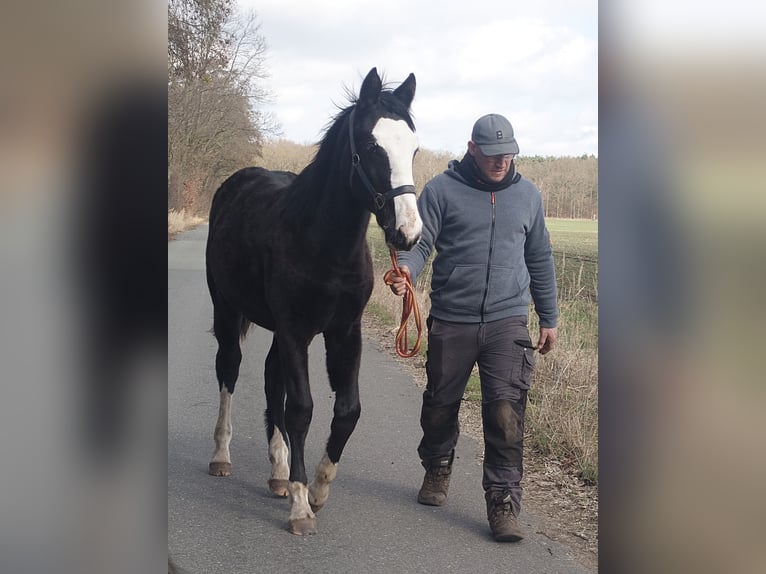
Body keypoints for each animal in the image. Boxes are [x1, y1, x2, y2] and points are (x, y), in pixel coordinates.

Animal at [204, 68, 422, 535]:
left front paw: (317, 488)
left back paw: (278, 472)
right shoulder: (295, 330)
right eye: (372, 147)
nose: (408, 234)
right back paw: (222, 456)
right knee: (230, 370)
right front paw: (302, 506)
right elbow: (301, 409)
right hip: (228, 312)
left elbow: (347, 410)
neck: (322, 242)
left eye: (413, 148)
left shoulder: (343, 333)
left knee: (271, 381)